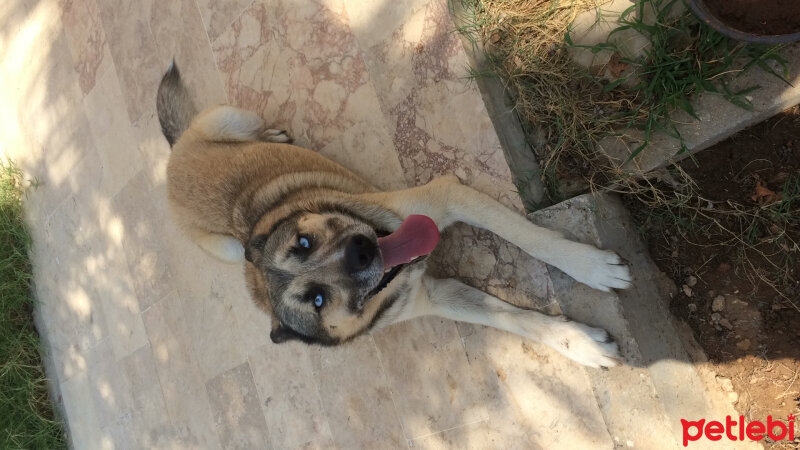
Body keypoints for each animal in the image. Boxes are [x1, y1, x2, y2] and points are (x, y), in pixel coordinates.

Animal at [156, 61, 632, 368]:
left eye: (303, 242)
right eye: (317, 300)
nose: (361, 251)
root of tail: (173, 159)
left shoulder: (445, 198)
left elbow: (534, 239)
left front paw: (590, 267)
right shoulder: (438, 296)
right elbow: (519, 320)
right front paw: (581, 344)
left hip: (231, 118)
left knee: (248, 127)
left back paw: (271, 135)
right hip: (227, 248)